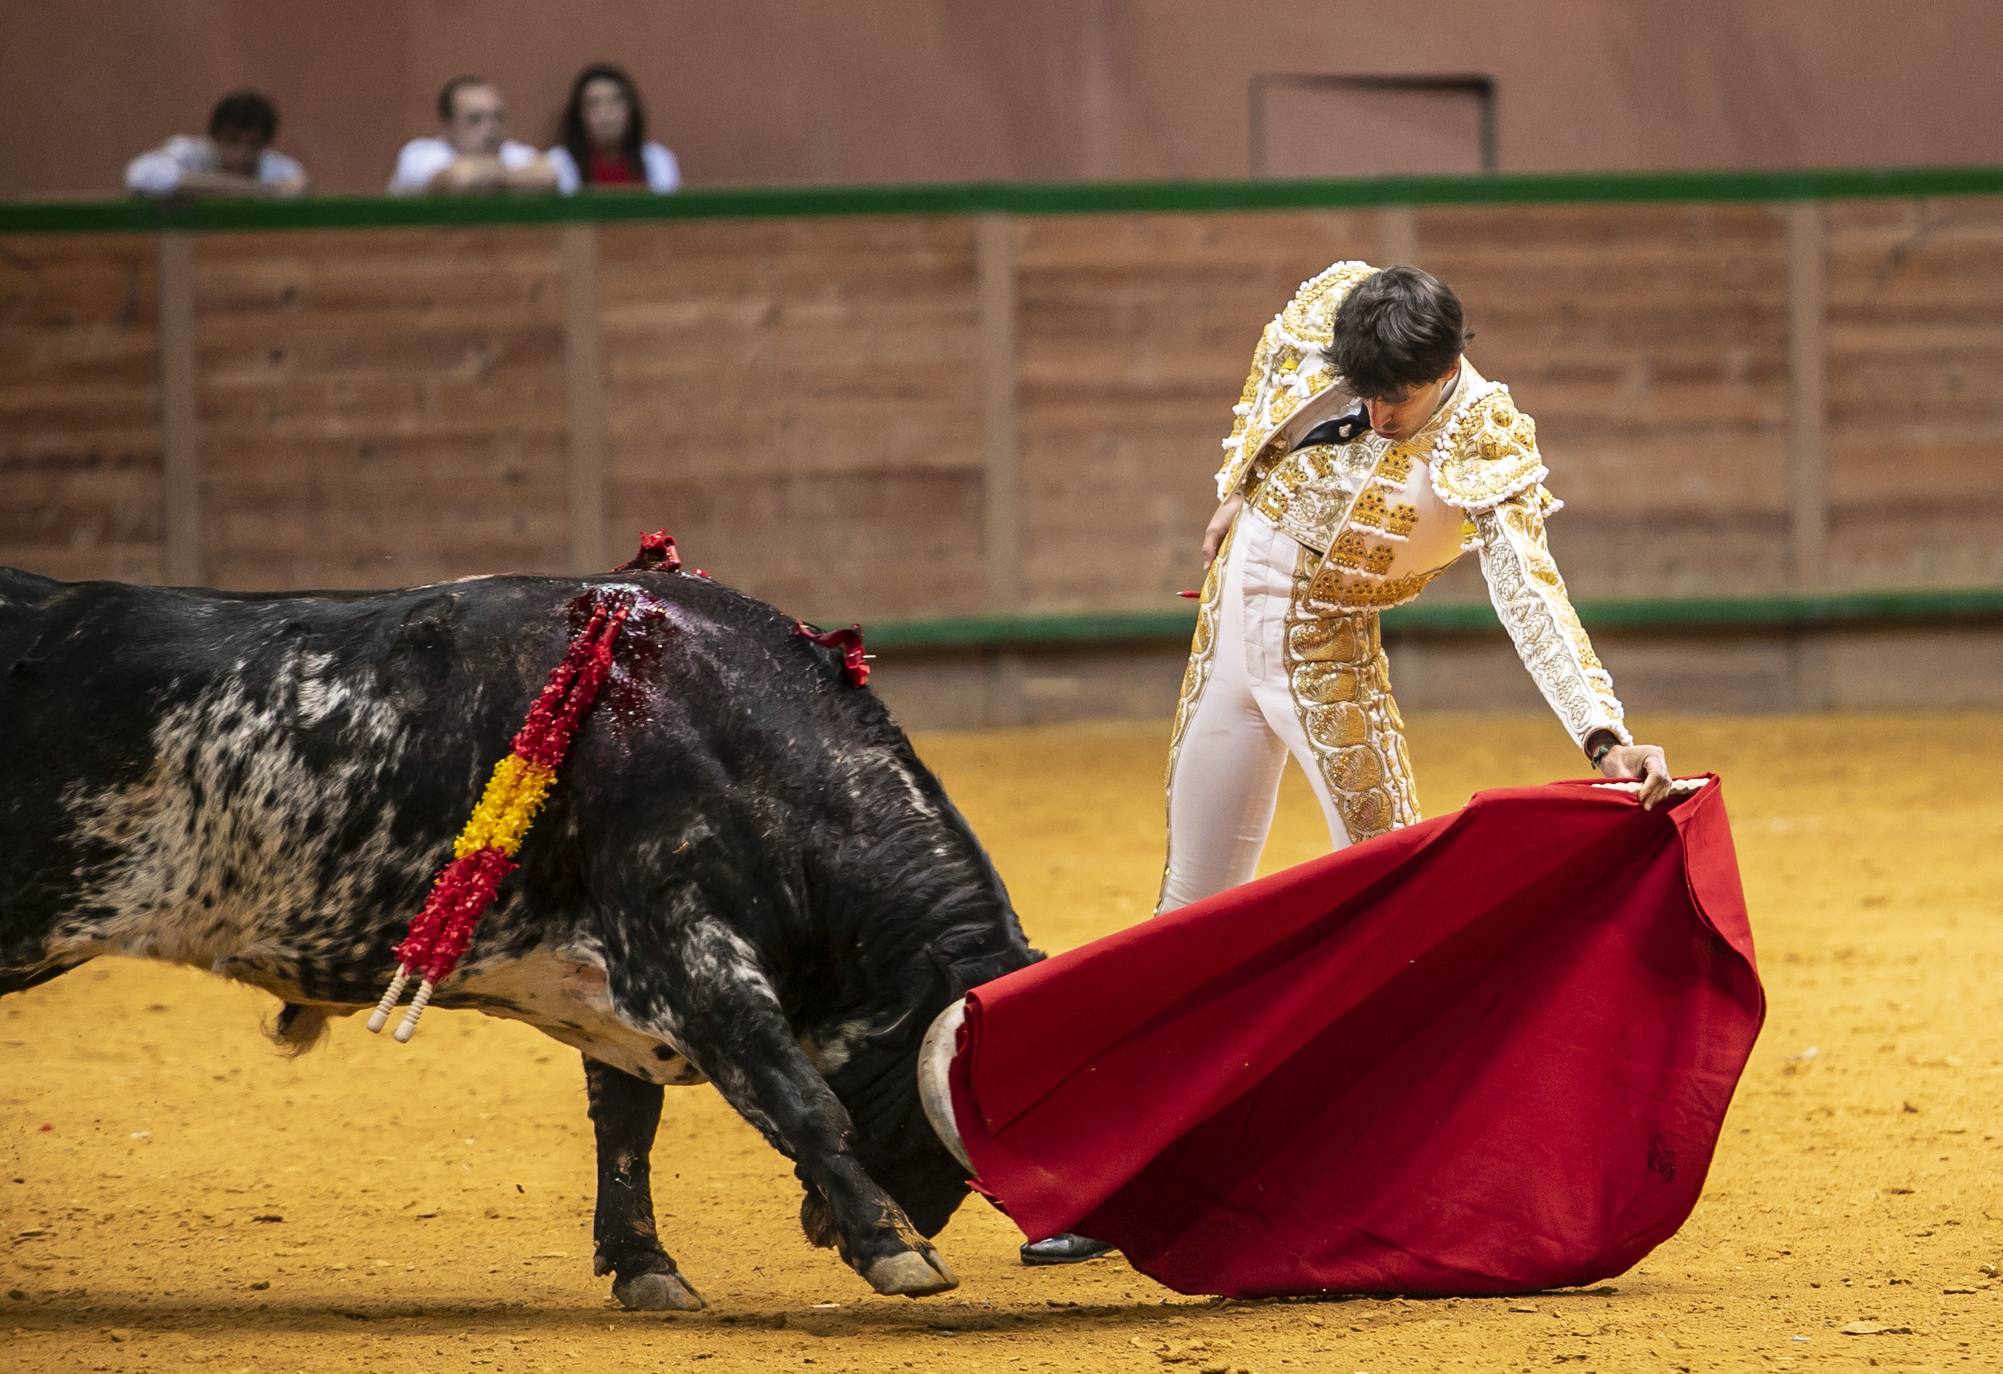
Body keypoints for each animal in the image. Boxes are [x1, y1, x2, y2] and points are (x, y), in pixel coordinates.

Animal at [11, 568, 1049, 1313]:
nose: (822, 1230)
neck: (735, 737)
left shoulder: (621, 994)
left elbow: (626, 1128)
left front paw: (645, 1266)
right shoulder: (686, 952)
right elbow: (799, 1099)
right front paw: (895, 1247)